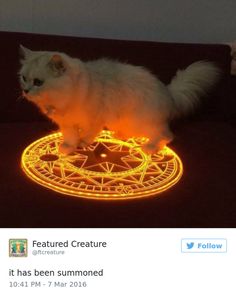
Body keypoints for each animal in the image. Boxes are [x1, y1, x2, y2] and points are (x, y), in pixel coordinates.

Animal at [18, 45, 219, 154]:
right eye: (24, 78)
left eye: (38, 82)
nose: (26, 90)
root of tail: (168, 92)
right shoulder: (67, 124)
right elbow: (70, 137)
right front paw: (68, 148)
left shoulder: (95, 119)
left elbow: (88, 134)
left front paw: (82, 144)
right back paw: (120, 135)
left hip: (143, 122)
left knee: (166, 136)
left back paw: (149, 147)